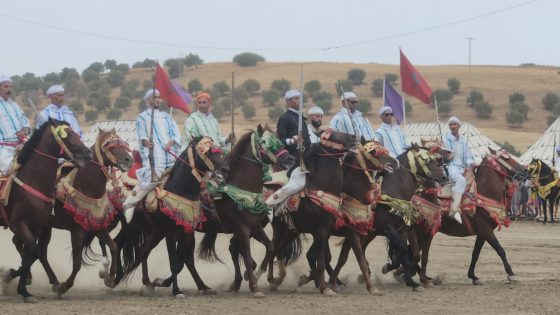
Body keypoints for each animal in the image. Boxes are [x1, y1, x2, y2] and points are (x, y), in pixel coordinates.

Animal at [1, 119, 91, 304]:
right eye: (67, 135)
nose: (88, 152)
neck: (32, 181)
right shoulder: (18, 224)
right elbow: (33, 251)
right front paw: (10, 276)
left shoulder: (36, 226)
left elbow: (32, 254)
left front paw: (24, 290)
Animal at [116, 136, 230, 298]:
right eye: (207, 152)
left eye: (218, 150)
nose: (225, 169)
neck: (180, 190)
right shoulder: (170, 234)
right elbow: (174, 263)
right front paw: (176, 291)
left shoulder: (186, 233)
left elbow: (181, 262)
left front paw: (161, 282)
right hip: (128, 227)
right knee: (118, 244)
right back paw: (112, 277)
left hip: (150, 233)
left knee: (142, 251)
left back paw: (146, 282)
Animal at [197, 124, 294, 298]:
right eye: (266, 142)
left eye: (279, 140)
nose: (290, 159)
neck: (242, 188)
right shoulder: (242, 228)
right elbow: (247, 256)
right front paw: (254, 287)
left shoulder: (254, 227)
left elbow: (269, 247)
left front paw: (254, 275)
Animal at [410, 149, 528, 288]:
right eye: (507, 158)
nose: (525, 170)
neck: (482, 194)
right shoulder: (486, 231)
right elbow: (500, 250)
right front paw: (511, 274)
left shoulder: (482, 233)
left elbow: (475, 254)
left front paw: (473, 276)